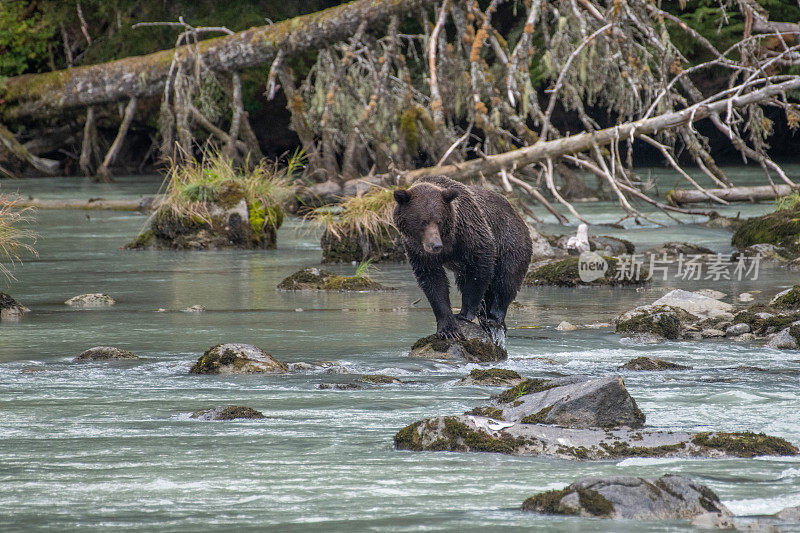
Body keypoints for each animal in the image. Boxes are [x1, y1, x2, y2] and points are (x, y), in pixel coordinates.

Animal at [392, 175, 532, 340]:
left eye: (439, 221)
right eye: (422, 222)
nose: (435, 245)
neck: (449, 241)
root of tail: (518, 214)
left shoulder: (469, 233)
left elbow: (480, 268)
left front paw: (465, 313)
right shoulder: (418, 251)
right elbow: (434, 283)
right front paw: (448, 329)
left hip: (511, 241)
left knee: (506, 279)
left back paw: (494, 317)